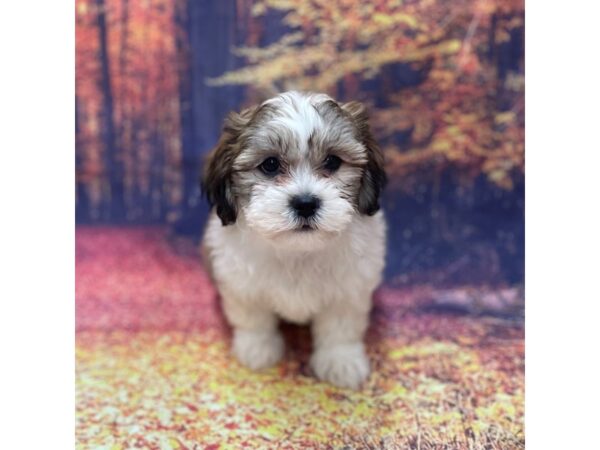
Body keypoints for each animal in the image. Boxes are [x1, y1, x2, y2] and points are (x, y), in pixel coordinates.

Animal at [199, 91, 386, 390]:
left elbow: (341, 327)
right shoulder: (241, 284)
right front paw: (257, 348)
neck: (297, 251)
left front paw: (341, 361)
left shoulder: (350, 289)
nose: (306, 203)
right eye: (270, 164)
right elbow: (253, 318)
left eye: (333, 162)